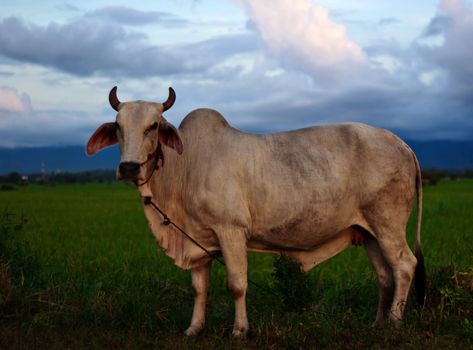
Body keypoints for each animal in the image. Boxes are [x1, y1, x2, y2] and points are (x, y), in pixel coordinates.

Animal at [85, 87, 424, 336]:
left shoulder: (231, 231)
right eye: (118, 127)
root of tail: (402, 143)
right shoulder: (197, 239)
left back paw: (395, 323)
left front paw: (240, 330)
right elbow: (199, 288)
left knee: (405, 265)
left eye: (153, 126)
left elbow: (237, 284)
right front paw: (194, 329)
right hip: (368, 233)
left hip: (388, 225)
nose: (129, 167)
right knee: (384, 275)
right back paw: (377, 324)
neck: (185, 167)